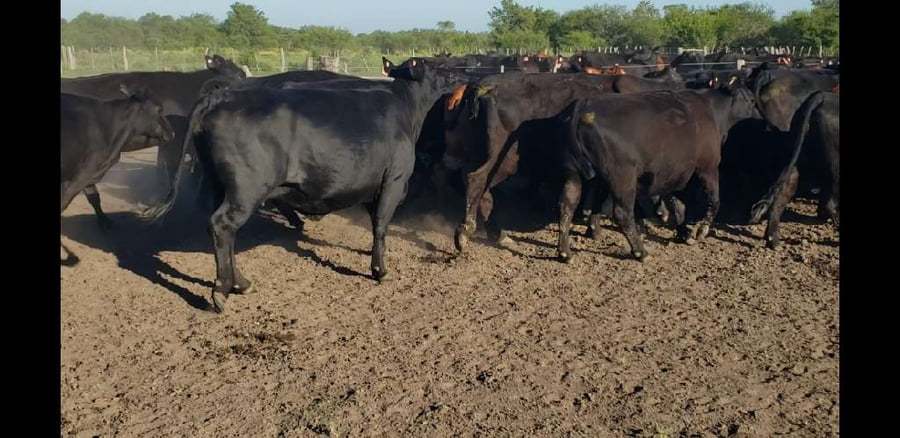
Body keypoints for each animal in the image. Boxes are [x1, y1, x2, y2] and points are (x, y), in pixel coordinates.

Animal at [61, 88, 175, 231]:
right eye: (159, 109)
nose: (172, 132)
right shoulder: (81, 174)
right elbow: (64, 200)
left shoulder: (90, 174)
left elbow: (94, 197)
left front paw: (105, 222)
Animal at [141, 57, 469, 312]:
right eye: (437, 66)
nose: (462, 74)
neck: (405, 107)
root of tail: (222, 97)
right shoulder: (394, 180)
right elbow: (380, 225)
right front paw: (380, 270)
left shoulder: (370, 183)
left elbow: (374, 222)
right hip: (245, 191)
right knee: (222, 226)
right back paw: (223, 290)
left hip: (217, 184)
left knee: (223, 232)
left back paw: (241, 283)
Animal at [556, 83, 762, 261]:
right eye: (752, 100)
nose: (760, 119)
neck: (711, 111)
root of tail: (583, 106)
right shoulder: (707, 167)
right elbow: (714, 200)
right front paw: (701, 230)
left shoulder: (675, 171)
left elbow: (678, 204)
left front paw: (683, 233)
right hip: (623, 178)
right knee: (622, 213)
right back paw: (640, 251)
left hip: (573, 173)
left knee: (567, 205)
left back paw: (565, 252)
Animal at [749, 91, 839, 248]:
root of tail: (822, 96)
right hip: (835, 163)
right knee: (830, 202)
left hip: (797, 163)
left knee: (781, 196)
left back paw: (773, 240)